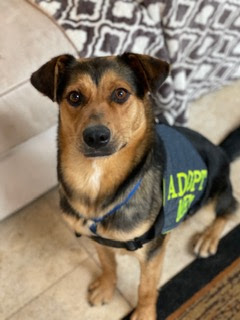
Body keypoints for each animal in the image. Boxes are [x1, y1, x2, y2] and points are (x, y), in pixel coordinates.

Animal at [31, 53, 239, 320]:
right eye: (74, 97)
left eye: (120, 93)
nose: (96, 137)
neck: (95, 177)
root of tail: (221, 150)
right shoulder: (98, 239)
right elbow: (108, 264)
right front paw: (107, 287)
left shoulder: (152, 252)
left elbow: (146, 288)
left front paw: (144, 313)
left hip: (214, 189)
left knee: (229, 208)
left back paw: (208, 237)